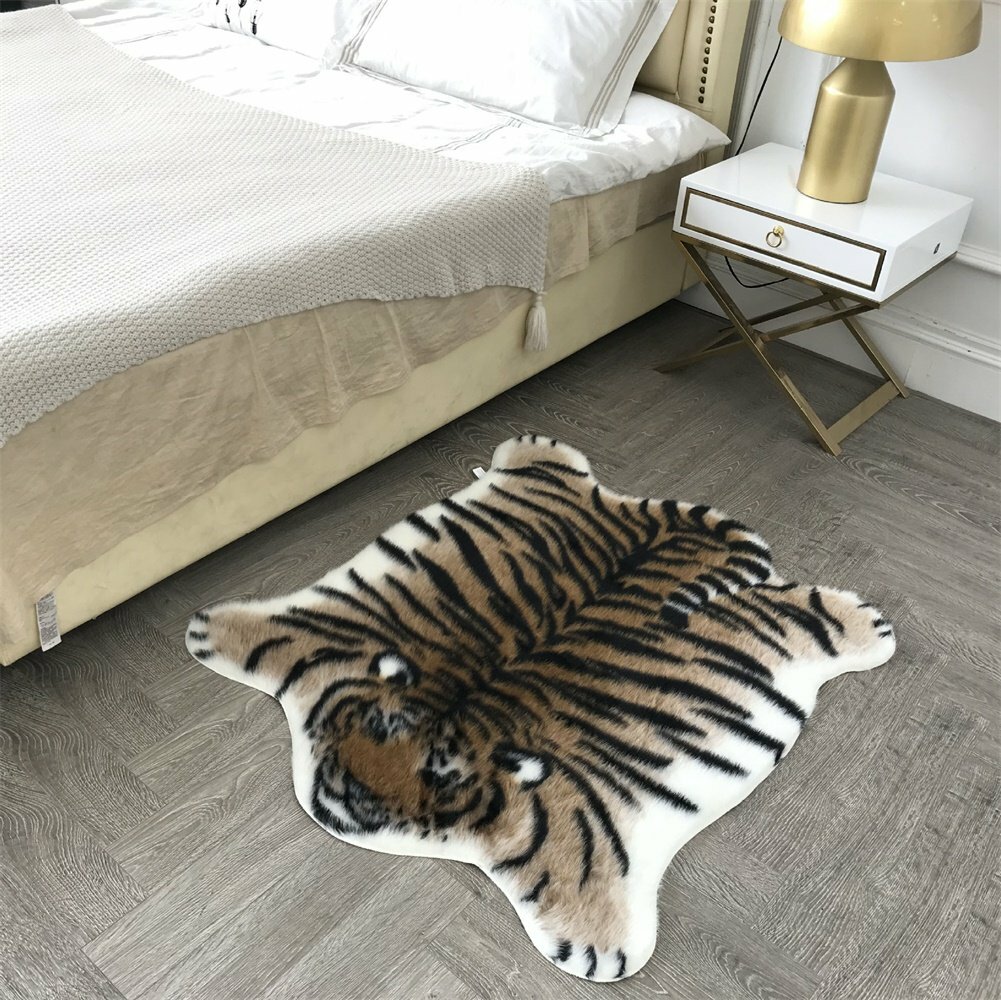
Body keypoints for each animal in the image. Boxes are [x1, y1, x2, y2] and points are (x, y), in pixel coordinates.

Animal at [186, 434, 896, 982]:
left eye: (442, 775)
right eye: (372, 725)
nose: (351, 793)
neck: (460, 705)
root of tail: (694, 524)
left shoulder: (576, 824)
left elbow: (580, 880)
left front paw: (602, 950)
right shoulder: (319, 644)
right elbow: (266, 634)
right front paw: (208, 632)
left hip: (782, 615)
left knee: (813, 610)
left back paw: (870, 625)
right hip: (565, 491)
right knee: (553, 466)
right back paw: (534, 447)